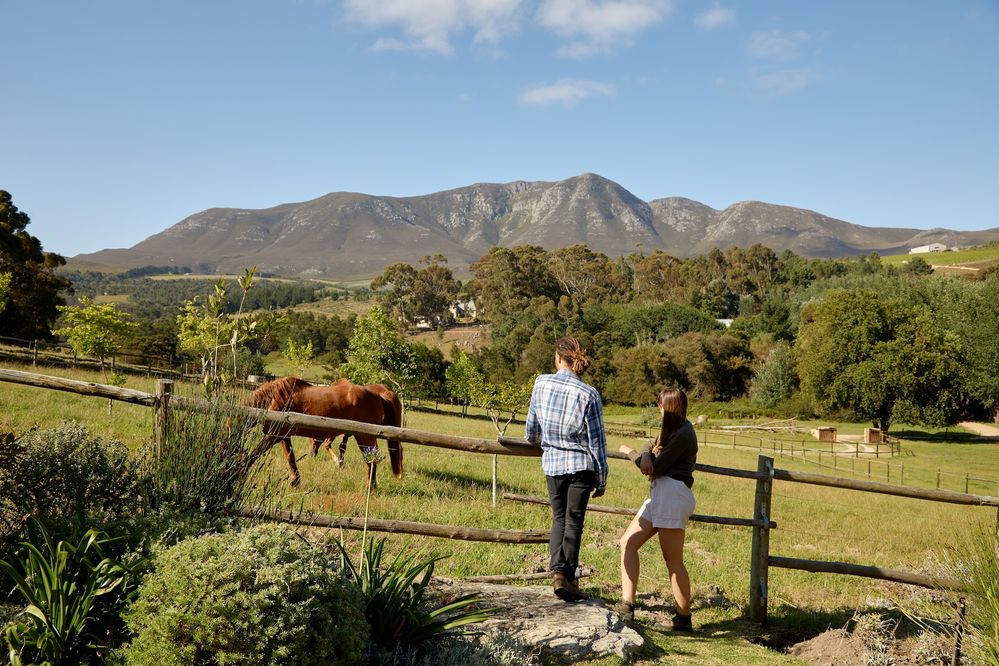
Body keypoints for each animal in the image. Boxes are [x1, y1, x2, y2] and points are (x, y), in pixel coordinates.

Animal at [244, 376, 404, 486]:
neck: (277, 396)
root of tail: (380, 396)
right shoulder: (283, 435)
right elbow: (290, 457)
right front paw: (295, 480)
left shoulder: (274, 435)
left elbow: (255, 454)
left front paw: (241, 470)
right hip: (362, 437)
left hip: (365, 437)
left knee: (372, 460)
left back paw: (369, 487)